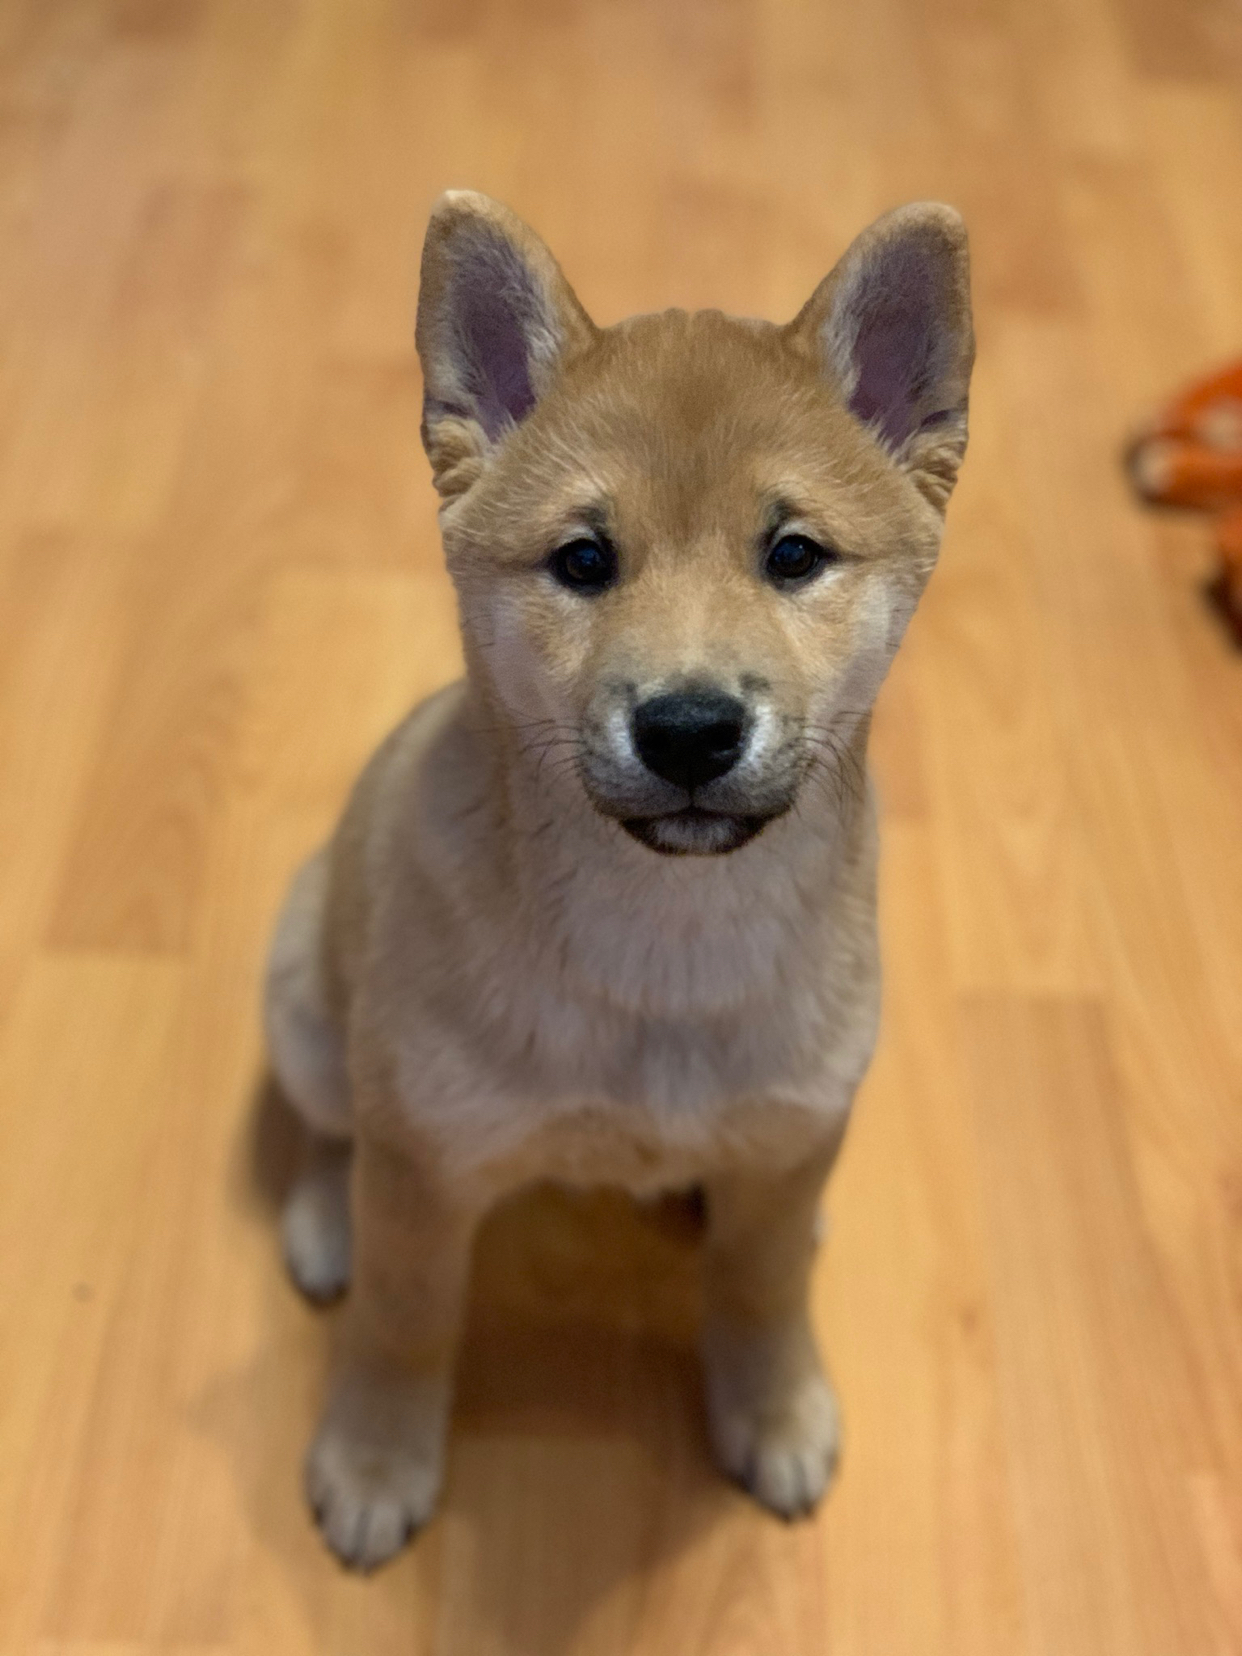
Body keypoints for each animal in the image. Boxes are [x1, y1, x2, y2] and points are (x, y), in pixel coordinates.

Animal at [268, 190, 980, 1563]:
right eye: (585, 562)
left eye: (794, 556)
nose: (691, 729)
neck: (665, 956)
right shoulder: (428, 1164)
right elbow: (402, 1316)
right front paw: (375, 1457)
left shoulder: (798, 1128)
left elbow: (761, 1287)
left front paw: (775, 1405)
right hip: (307, 1005)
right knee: (334, 1132)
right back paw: (328, 1215)